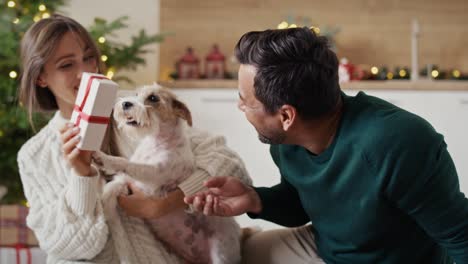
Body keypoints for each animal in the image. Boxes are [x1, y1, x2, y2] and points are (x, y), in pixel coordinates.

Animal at [93, 84, 243, 264]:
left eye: (153, 98)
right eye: (136, 93)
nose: (125, 104)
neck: (156, 143)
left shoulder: (152, 176)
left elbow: (127, 164)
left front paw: (104, 159)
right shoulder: (129, 181)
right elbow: (115, 185)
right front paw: (106, 203)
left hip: (221, 254)